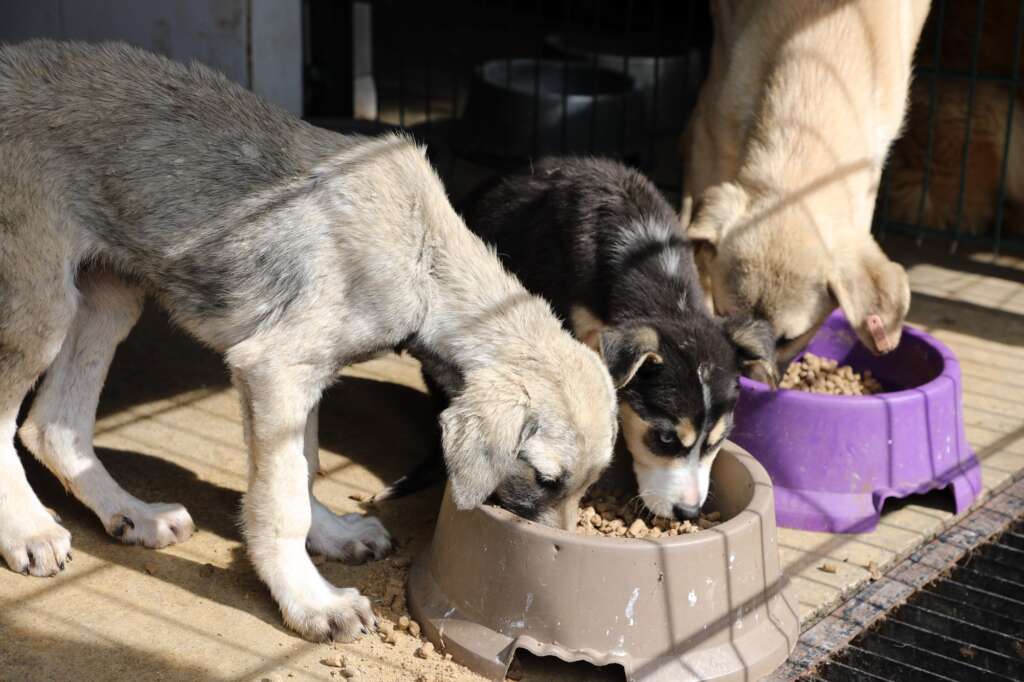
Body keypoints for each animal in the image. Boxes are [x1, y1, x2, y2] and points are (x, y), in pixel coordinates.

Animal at [0, 39, 614, 638]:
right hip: (40, 306)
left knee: (53, 426)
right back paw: (28, 529)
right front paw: (311, 601)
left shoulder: (305, 377)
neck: (424, 257)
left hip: (108, 297)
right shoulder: (274, 369)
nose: (559, 553)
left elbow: (306, 463)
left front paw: (333, 536)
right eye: (545, 477)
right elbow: (284, 499)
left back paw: (134, 514)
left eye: (589, 484)